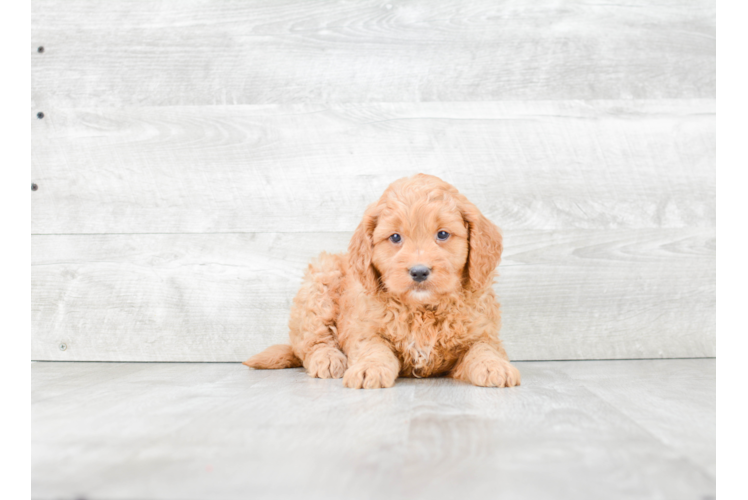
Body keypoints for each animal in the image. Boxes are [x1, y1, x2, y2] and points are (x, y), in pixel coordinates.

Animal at [245, 174, 520, 388]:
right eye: (395, 237)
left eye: (442, 234)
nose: (419, 272)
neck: (422, 310)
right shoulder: (363, 330)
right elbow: (374, 348)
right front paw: (369, 368)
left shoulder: (483, 333)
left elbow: (484, 349)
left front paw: (495, 366)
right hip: (320, 280)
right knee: (311, 342)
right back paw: (329, 359)